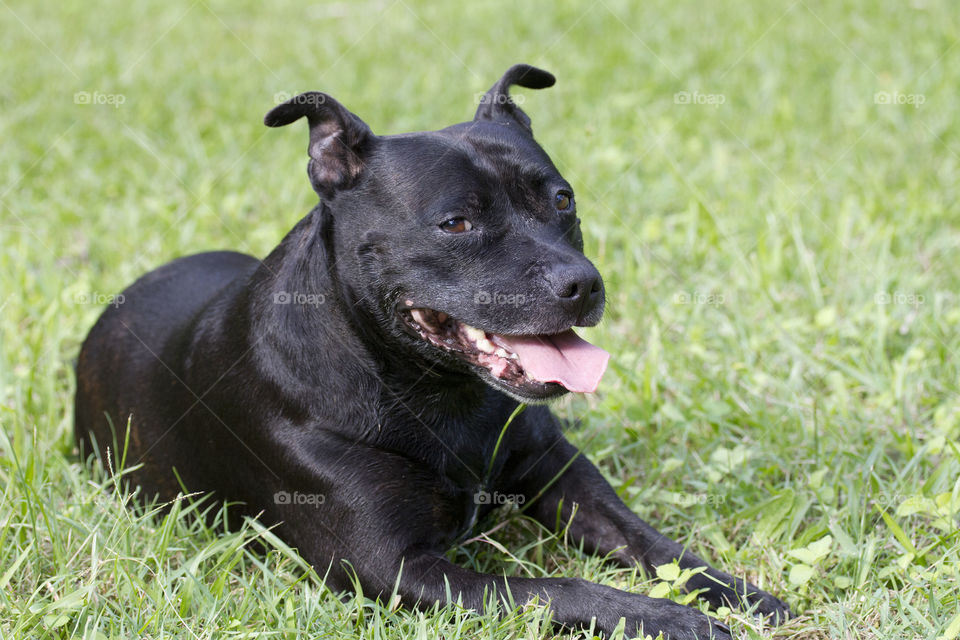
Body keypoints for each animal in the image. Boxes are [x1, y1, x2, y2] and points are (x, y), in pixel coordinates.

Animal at [75, 63, 788, 636]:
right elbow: (556, 587)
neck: (439, 392)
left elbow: (648, 541)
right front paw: (664, 618)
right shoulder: (394, 568)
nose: (584, 284)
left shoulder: (560, 470)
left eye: (563, 199)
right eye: (456, 223)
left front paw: (734, 593)